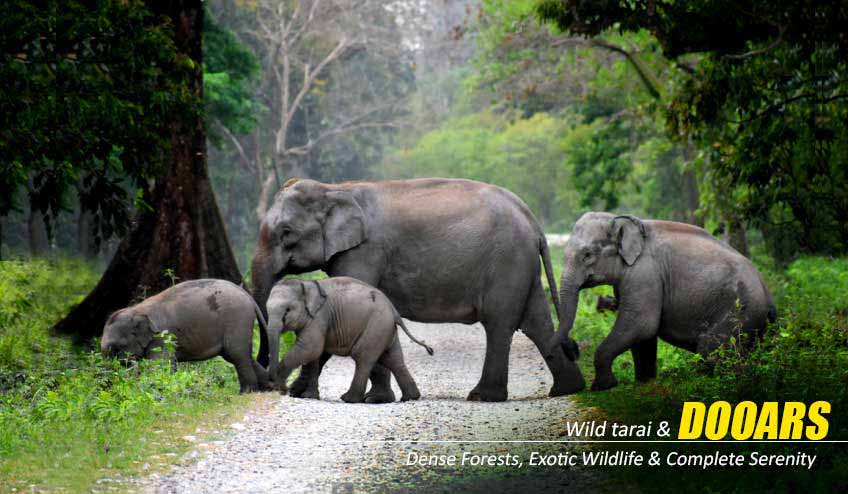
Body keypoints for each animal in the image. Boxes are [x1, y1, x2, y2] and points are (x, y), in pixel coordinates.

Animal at [101, 279, 271, 393]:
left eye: (115, 348)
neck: (137, 309)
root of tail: (247, 295)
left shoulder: (163, 338)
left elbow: (159, 365)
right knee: (238, 355)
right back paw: (269, 387)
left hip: (237, 319)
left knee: (237, 354)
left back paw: (247, 392)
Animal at [267, 277, 434, 403]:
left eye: (287, 310)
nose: (282, 389)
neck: (306, 284)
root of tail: (394, 311)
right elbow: (314, 355)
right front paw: (309, 397)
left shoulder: (320, 317)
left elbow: (310, 348)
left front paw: (280, 388)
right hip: (385, 328)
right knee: (393, 360)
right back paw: (410, 398)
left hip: (376, 325)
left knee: (362, 357)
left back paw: (350, 399)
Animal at [548, 212, 777, 391]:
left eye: (587, 255)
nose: (573, 348)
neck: (623, 220)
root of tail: (767, 292)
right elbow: (642, 336)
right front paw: (644, 385)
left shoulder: (644, 274)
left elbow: (641, 325)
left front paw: (603, 386)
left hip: (741, 311)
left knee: (710, 349)